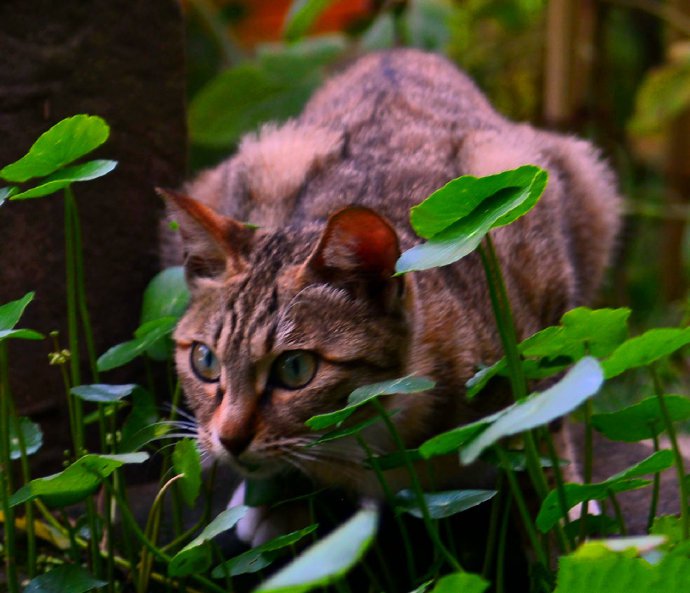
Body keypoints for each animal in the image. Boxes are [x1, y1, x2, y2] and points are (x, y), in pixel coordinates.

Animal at [160, 48, 620, 544]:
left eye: (295, 369)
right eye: (205, 361)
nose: (229, 438)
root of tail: (397, 53)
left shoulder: (542, 295)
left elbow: (548, 411)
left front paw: (568, 507)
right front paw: (278, 498)